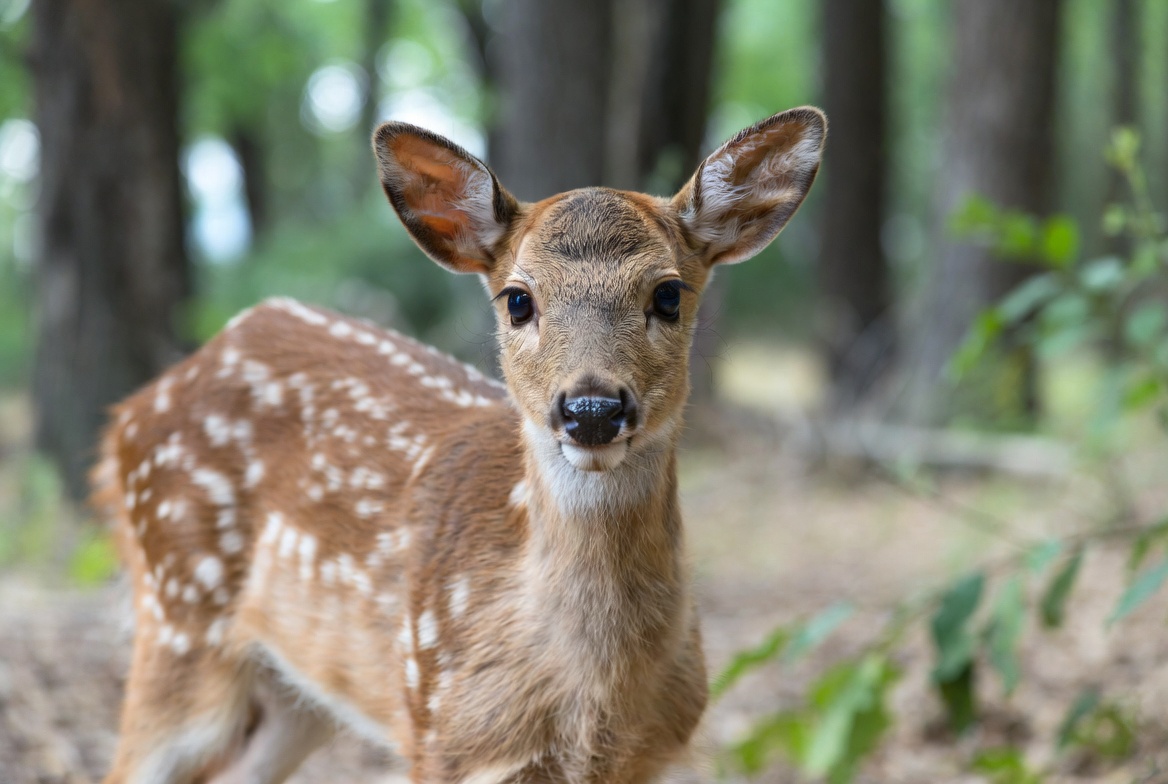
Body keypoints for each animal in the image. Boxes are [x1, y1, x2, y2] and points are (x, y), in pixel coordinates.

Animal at [92, 105, 826, 784]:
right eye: (518, 300)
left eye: (669, 294)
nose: (591, 410)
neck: (589, 701)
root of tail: (126, 416)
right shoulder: (446, 735)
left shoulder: (656, 754)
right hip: (179, 613)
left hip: (295, 693)